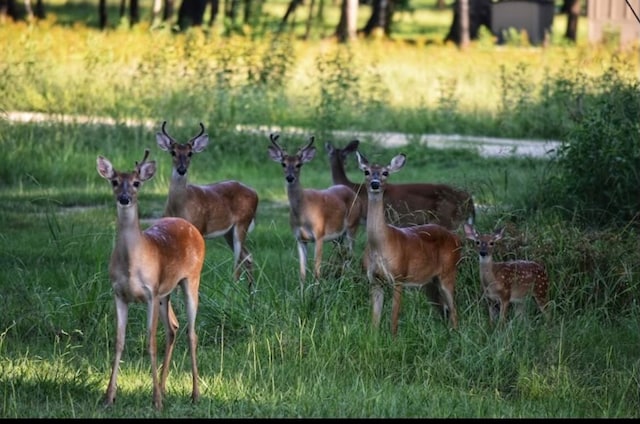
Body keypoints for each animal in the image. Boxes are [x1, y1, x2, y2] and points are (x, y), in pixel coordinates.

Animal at [97, 150, 205, 410]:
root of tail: (190, 226)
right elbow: (119, 340)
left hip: (191, 279)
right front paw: (109, 396)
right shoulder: (119, 294)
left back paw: (195, 394)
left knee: (191, 333)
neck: (131, 264)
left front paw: (155, 400)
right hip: (166, 293)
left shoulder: (150, 293)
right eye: (114, 182)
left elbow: (150, 342)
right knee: (173, 327)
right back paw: (165, 389)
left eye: (137, 183)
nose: (125, 198)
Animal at [156, 122, 258, 294]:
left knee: (239, 259)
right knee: (248, 256)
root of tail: (255, 193)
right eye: (173, 152)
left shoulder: (199, 227)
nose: (182, 169)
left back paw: (234, 288)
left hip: (242, 223)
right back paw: (251, 290)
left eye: (190, 153)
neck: (180, 207)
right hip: (229, 232)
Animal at [266, 133, 362, 294]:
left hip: (353, 227)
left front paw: (316, 293)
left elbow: (317, 270)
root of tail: (351, 192)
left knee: (350, 256)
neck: (303, 213)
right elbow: (302, 272)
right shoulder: (299, 239)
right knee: (343, 255)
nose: (290, 177)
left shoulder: (319, 234)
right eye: (283, 164)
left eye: (299, 164)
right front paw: (302, 294)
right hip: (338, 236)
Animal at [356, 150, 460, 338]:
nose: (375, 184)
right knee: (444, 310)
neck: (380, 245)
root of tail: (457, 239)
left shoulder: (399, 277)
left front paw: (393, 339)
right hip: (430, 283)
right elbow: (375, 320)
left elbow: (393, 318)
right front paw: (373, 339)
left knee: (454, 311)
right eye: (366, 171)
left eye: (385, 173)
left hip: (448, 272)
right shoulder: (374, 280)